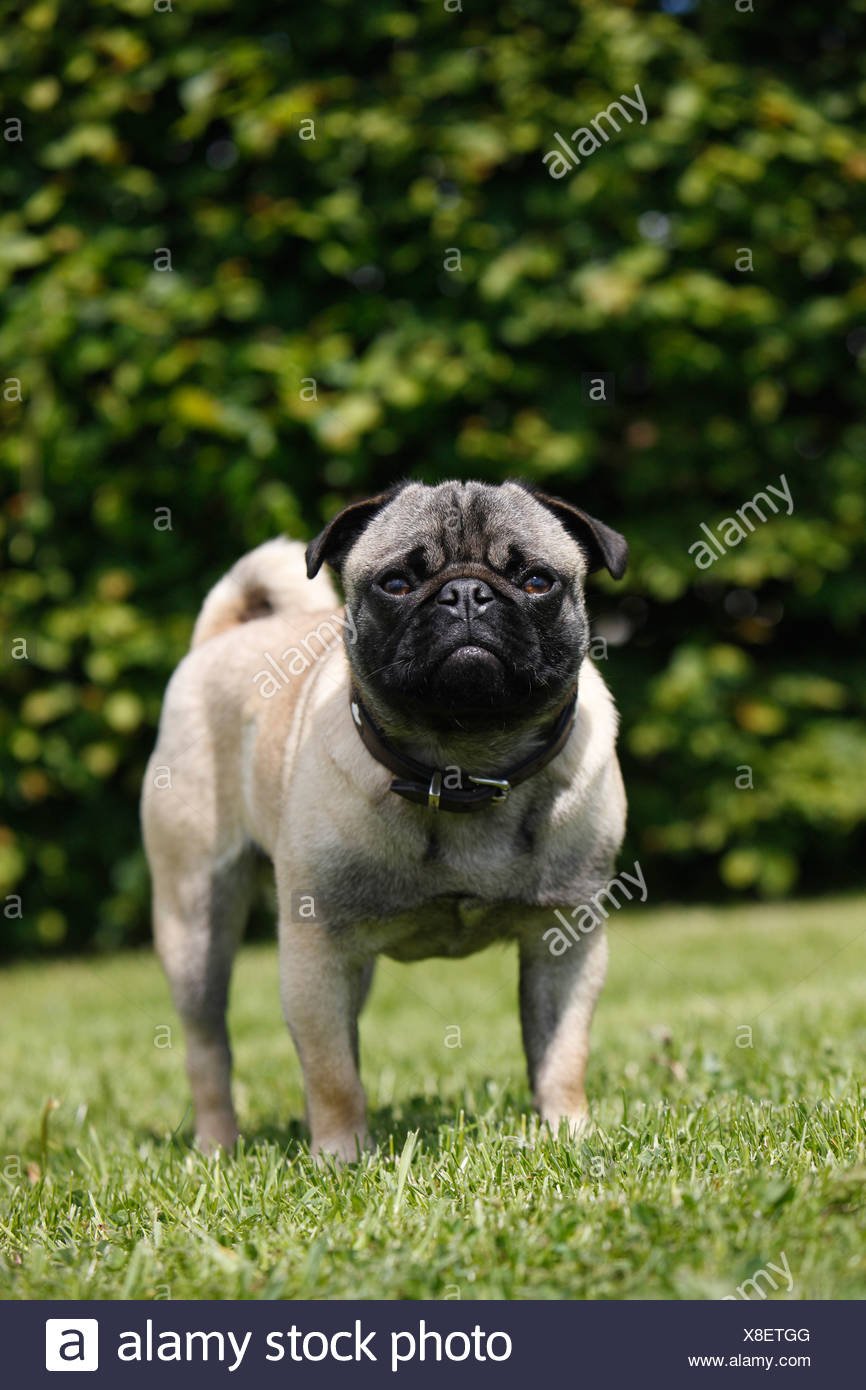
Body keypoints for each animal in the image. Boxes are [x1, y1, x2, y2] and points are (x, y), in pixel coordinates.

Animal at [143, 483, 631, 1156]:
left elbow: (562, 1054)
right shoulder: (317, 949)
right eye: (396, 583)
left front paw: (567, 1134)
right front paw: (340, 1156)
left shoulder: (565, 940)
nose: (466, 593)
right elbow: (332, 1075)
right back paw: (218, 1146)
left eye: (536, 580)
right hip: (194, 922)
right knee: (208, 1046)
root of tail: (219, 637)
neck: (462, 767)